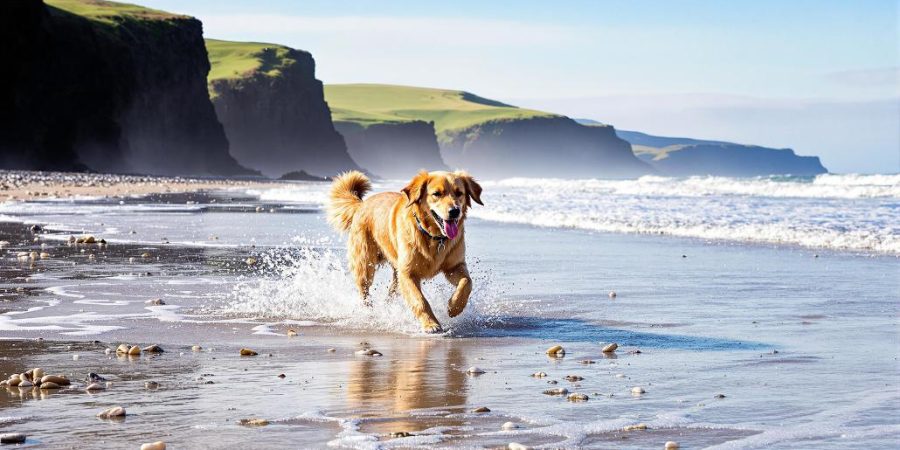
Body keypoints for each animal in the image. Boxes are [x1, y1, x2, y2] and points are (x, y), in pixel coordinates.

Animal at [326, 171, 482, 332]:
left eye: (459, 193)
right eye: (436, 194)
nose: (455, 211)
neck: (433, 237)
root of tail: (361, 205)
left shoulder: (455, 266)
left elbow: (467, 282)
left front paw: (454, 307)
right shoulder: (408, 273)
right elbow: (420, 300)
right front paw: (431, 324)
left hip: (396, 273)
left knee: (391, 291)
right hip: (365, 265)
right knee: (364, 291)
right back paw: (369, 312)